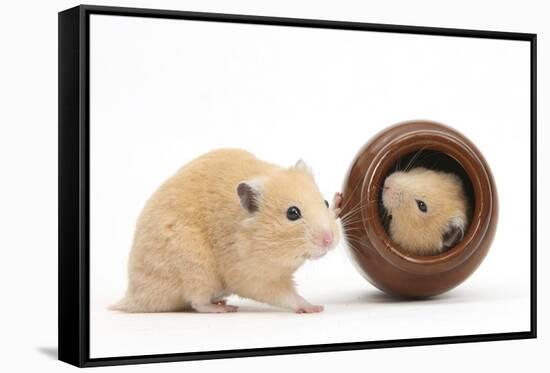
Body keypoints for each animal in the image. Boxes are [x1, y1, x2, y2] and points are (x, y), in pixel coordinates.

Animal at [112, 150, 342, 312]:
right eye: (292, 213)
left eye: (324, 202)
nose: (329, 240)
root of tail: (133, 296)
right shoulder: (249, 276)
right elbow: (286, 295)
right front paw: (315, 308)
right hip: (196, 268)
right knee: (197, 302)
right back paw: (224, 308)